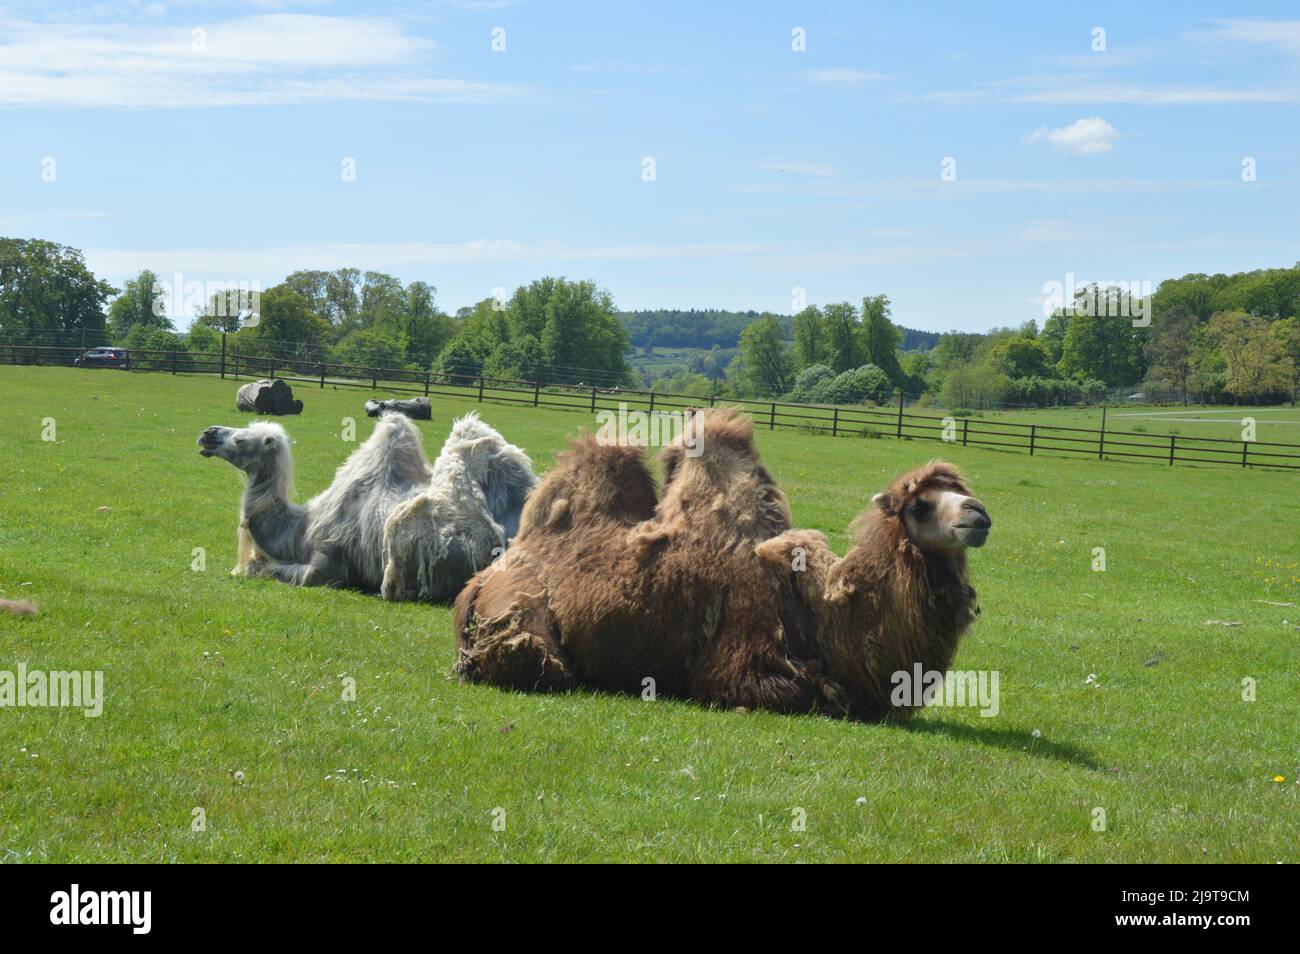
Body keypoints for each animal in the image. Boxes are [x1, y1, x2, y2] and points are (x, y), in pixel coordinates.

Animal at [452, 408, 987, 722]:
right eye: (920, 505)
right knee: (537, 662)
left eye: (960, 491)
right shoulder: (739, 662)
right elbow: (804, 690)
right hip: (522, 621)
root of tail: (477, 583)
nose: (978, 514)